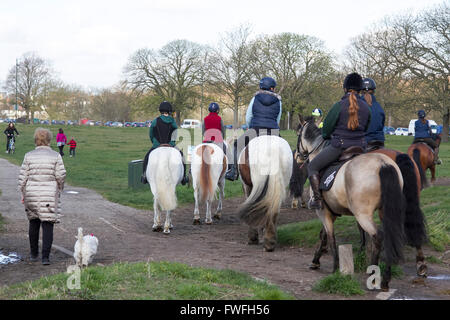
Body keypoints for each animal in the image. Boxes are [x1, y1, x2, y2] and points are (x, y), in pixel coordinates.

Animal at [298, 115, 428, 290]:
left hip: (363, 214)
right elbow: (326, 234)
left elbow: (329, 237)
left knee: (378, 236)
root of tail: (383, 163)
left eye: (298, 133)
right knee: (395, 232)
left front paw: (331, 267)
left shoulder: (323, 211)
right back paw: (395, 274)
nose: (298, 157)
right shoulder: (331, 212)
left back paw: (374, 274)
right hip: (390, 210)